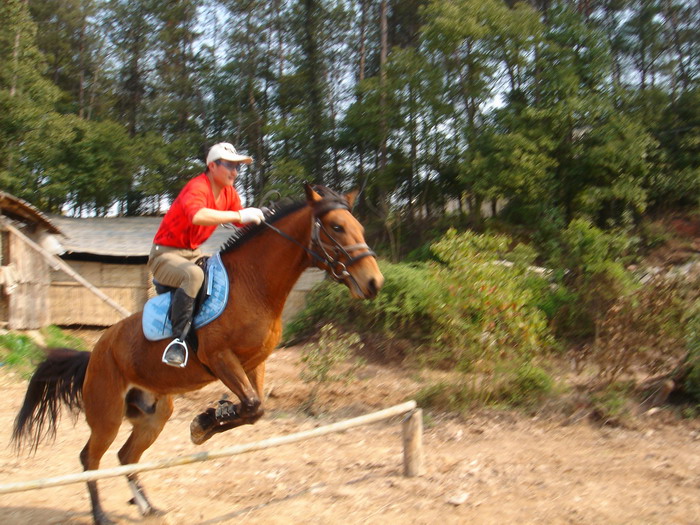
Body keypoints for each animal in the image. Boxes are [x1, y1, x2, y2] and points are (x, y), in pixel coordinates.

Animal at [9, 182, 382, 520]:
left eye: (360, 228)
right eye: (336, 227)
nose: (374, 283)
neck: (255, 284)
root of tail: (94, 354)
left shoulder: (254, 363)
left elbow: (256, 408)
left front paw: (207, 421)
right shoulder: (219, 358)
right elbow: (252, 404)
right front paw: (206, 421)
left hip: (154, 414)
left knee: (126, 456)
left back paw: (147, 505)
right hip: (107, 414)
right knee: (91, 458)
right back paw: (101, 514)